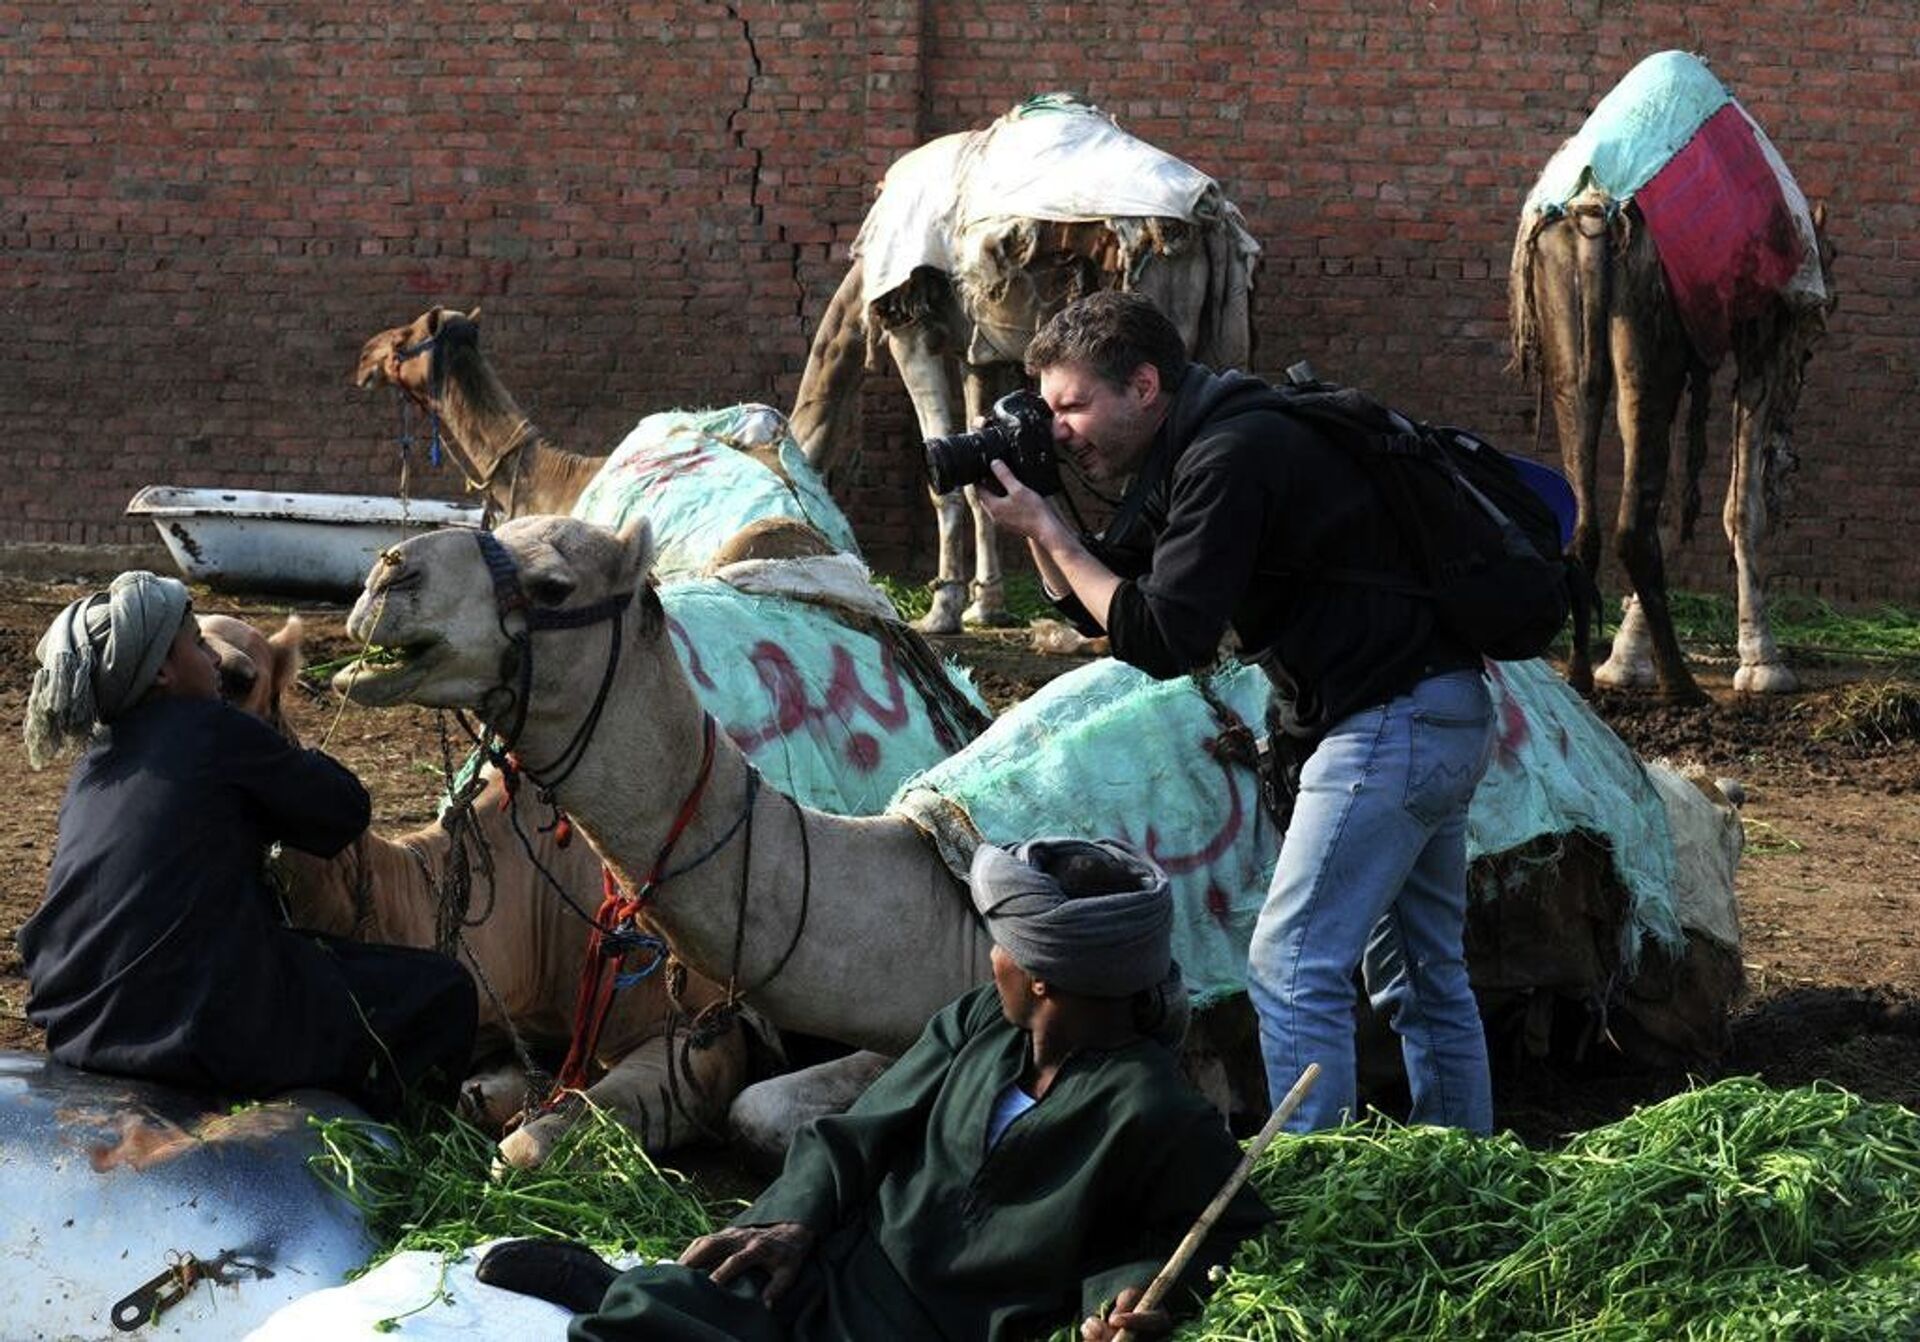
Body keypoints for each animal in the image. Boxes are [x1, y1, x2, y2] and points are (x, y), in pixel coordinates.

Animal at [1512, 49, 1827, 702]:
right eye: (1807, 350)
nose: (1791, 459)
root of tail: (1596, 206)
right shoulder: (1759, 340)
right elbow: (1741, 508)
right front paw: (1764, 664)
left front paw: (1624, 661)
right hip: (1649, 319)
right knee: (1635, 523)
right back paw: (1681, 684)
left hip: (1576, 324)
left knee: (1594, 508)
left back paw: (1583, 675)